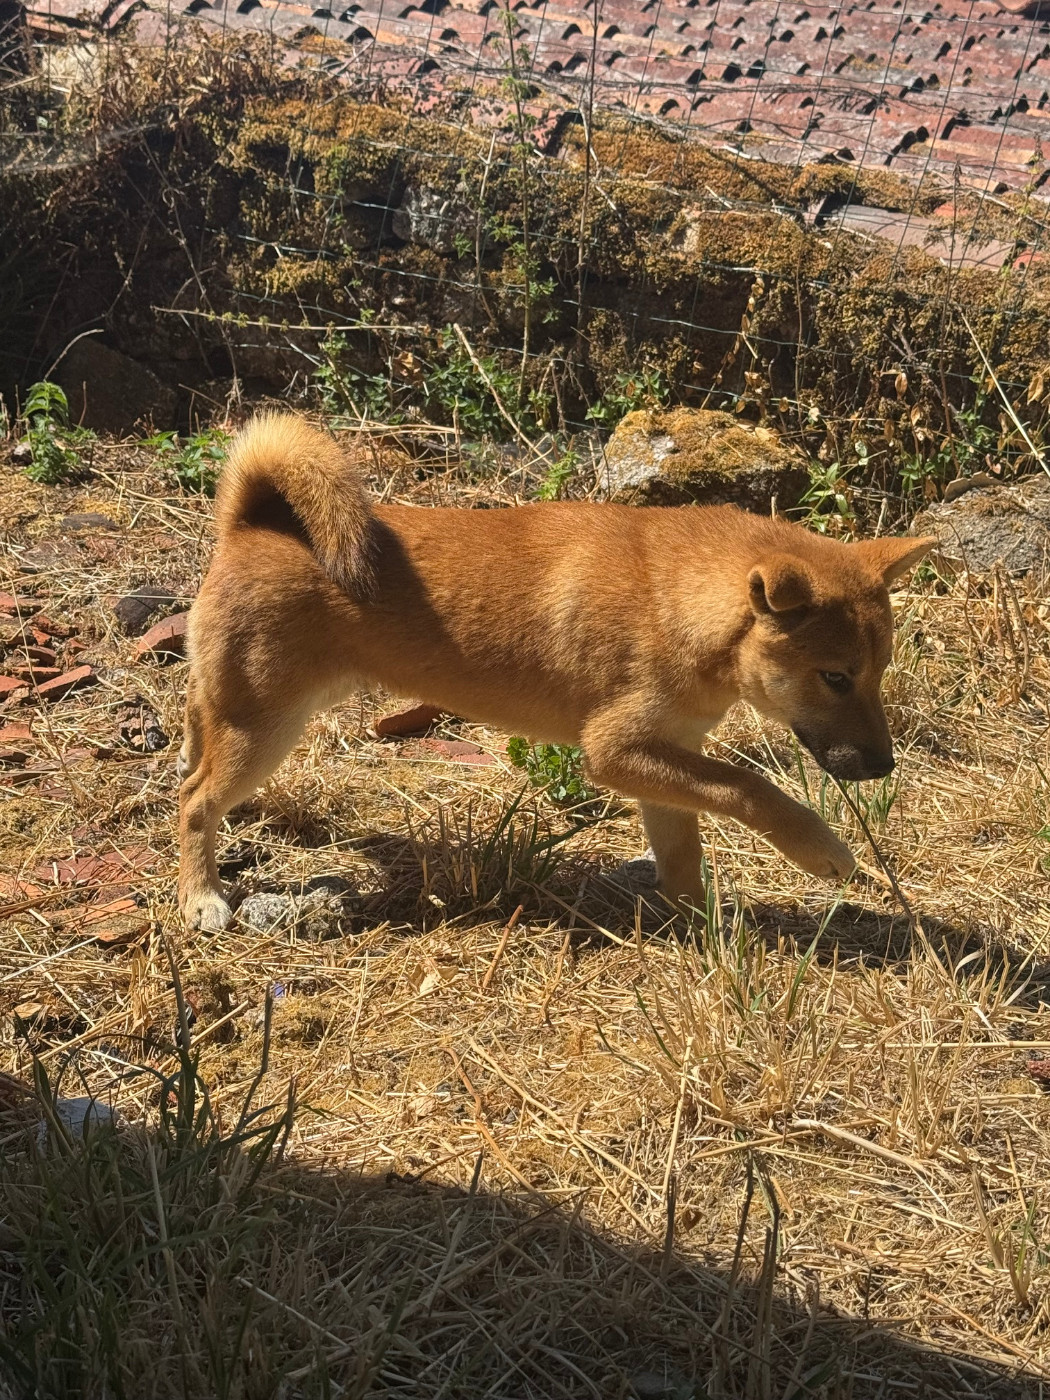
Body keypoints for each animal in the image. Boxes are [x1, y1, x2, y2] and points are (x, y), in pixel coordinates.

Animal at [177, 413, 935, 932]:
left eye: (879, 673)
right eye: (836, 678)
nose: (883, 767)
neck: (669, 600)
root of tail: (251, 524)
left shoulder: (663, 756)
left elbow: (685, 854)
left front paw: (705, 935)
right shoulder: (614, 752)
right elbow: (751, 787)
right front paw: (820, 849)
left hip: (239, 709)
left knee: (191, 749)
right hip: (265, 729)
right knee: (193, 801)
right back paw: (201, 896)